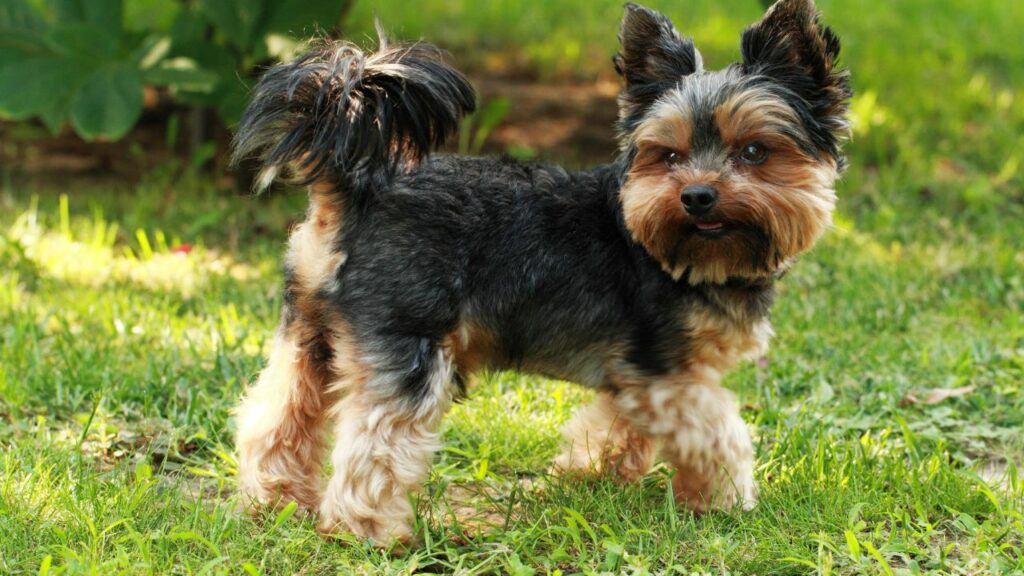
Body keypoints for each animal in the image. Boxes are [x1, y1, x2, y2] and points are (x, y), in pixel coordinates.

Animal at [230, 0, 847, 541]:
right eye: (669, 156)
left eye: (754, 152)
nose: (696, 196)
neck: (673, 250)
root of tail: (357, 188)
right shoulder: (667, 373)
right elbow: (720, 434)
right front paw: (724, 501)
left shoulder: (635, 373)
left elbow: (615, 424)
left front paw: (590, 475)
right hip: (409, 341)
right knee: (375, 444)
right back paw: (367, 532)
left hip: (309, 334)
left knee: (277, 415)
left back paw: (276, 500)